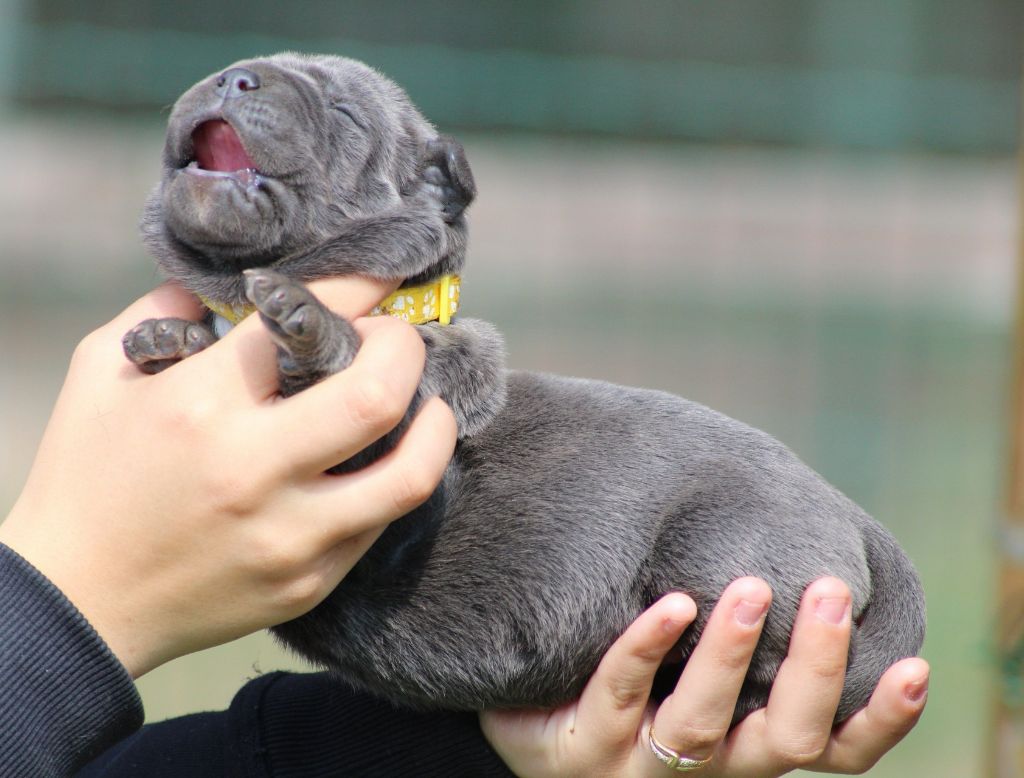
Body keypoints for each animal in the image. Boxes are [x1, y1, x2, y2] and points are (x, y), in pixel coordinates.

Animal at [123, 53, 925, 724]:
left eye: (347, 117)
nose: (233, 77)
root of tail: (857, 518)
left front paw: (303, 320)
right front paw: (171, 339)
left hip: (722, 550)